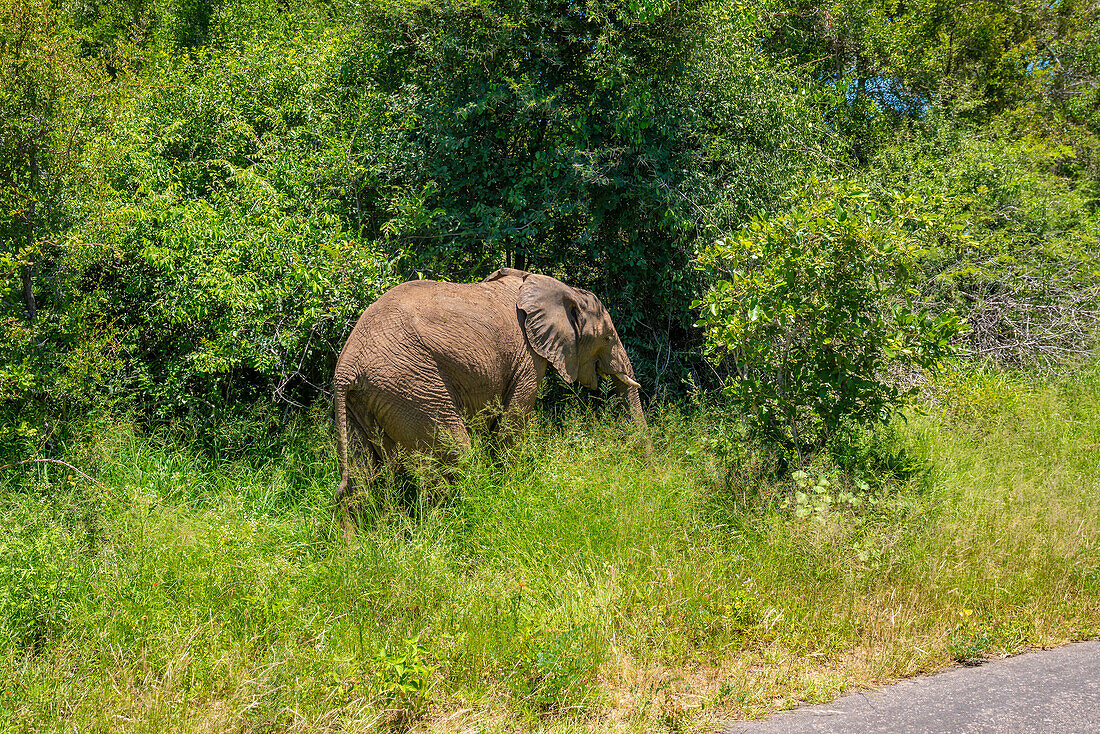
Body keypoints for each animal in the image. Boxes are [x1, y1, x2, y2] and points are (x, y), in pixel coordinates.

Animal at [330, 265, 646, 517]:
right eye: (608, 338)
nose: (649, 472)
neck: (556, 287)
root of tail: (346, 367)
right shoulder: (527, 356)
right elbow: (510, 428)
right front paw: (513, 490)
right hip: (410, 387)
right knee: (456, 452)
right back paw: (458, 519)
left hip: (363, 400)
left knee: (360, 475)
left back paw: (356, 546)